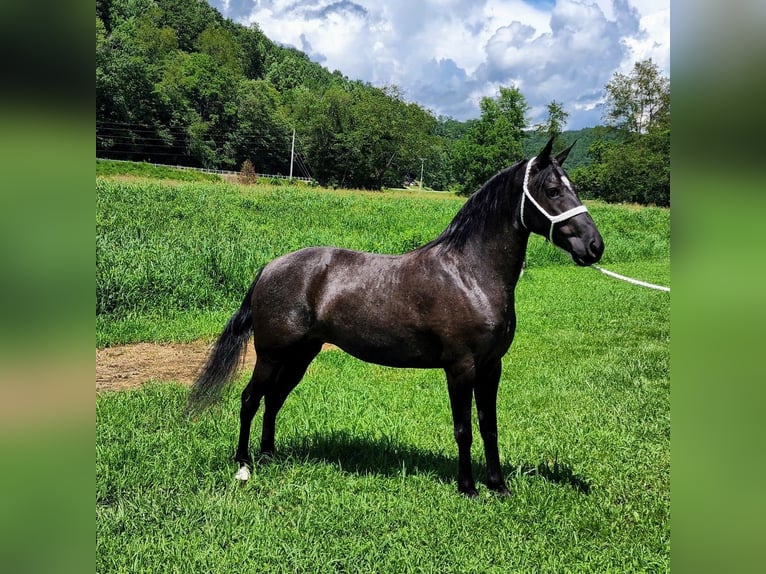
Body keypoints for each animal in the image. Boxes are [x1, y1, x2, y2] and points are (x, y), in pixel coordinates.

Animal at [188, 137, 608, 498]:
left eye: (573, 187)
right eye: (552, 190)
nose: (594, 246)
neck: (469, 273)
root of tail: (270, 267)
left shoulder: (492, 367)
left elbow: (489, 427)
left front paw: (499, 486)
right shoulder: (461, 367)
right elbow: (464, 429)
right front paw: (468, 488)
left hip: (301, 356)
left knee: (273, 401)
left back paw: (269, 456)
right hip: (272, 355)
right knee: (250, 400)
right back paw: (243, 465)